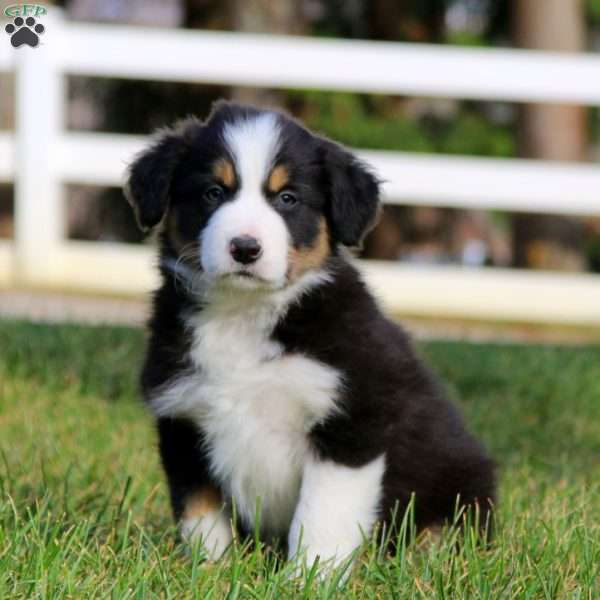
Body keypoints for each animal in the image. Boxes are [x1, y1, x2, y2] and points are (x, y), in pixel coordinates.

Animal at [124, 101, 494, 568]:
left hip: (456, 488)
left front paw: (308, 577)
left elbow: (321, 519)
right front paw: (210, 571)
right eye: (213, 192)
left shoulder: (350, 422)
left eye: (288, 199)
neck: (244, 314)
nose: (245, 248)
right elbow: (201, 515)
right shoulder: (183, 420)